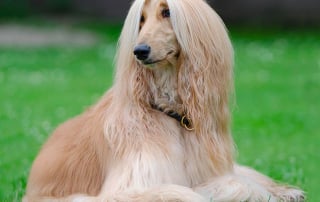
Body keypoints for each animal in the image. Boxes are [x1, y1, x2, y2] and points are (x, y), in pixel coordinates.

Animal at [23, 0, 304, 201]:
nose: (139, 51)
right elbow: (193, 192)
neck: (169, 110)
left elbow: (239, 181)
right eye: (140, 19)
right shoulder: (128, 186)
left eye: (167, 12)